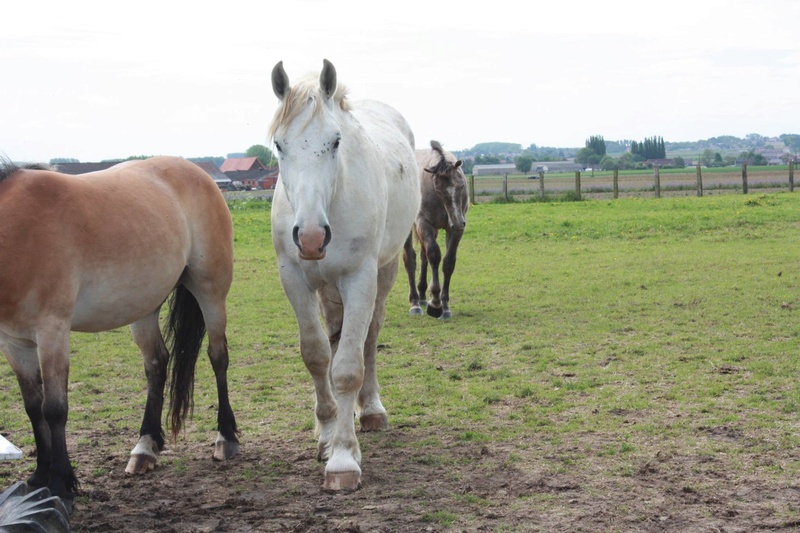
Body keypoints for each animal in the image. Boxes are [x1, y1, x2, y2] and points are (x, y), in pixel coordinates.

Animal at [0, 157, 239, 512]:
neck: (18, 231)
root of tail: (197, 172)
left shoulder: (52, 332)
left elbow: (54, 408)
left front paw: (60, 483)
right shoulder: (14, 342)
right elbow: (32, 406)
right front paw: (39, 477)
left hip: (210, 290)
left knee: (217, 356)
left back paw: (226, 437)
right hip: (143, 307)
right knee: (157, 364)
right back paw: (145, 447)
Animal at [268, 59, 422, 490]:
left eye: (335, 142)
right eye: (279, 145)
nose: (310, 237)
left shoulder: (359, 278)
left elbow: (350, 368)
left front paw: (342, 459)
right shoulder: (295, 279)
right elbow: (317, 355)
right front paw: (326, 434)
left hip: (383, 273)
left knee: (368, 338)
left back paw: (370, 411)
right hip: (327, 289)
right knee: (335, 339)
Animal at [400, 139, 468, 318]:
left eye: (461, 185)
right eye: (438, 190)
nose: (458, 222)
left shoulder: (454, 231)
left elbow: (448, 262)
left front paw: (444, 306)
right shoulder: (424, 224)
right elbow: (434, 256)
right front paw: (435, 303)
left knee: (423, 257)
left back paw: (423, 296)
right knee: (410, 259)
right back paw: (415, 303)